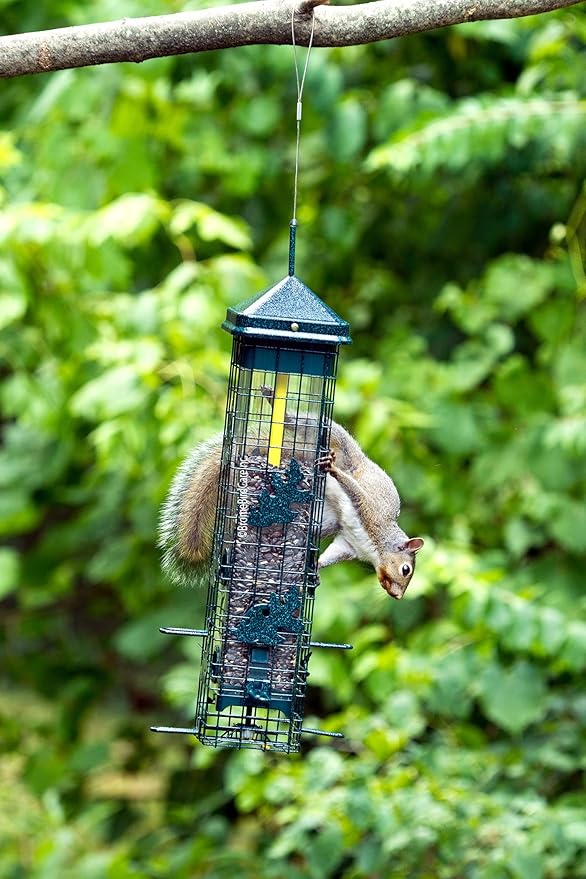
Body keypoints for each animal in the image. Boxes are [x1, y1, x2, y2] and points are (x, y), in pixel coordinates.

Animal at [159, 391, 424, 599]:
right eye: (406, 570)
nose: (397, 596)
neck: (375, 546)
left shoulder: (348, 543)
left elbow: (334, 552)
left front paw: (315, 569)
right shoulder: (370, 512)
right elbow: (354, 490)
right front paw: (334, 471)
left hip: (327, 519)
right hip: (334, 439)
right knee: (304, 424)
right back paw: (278, 406)